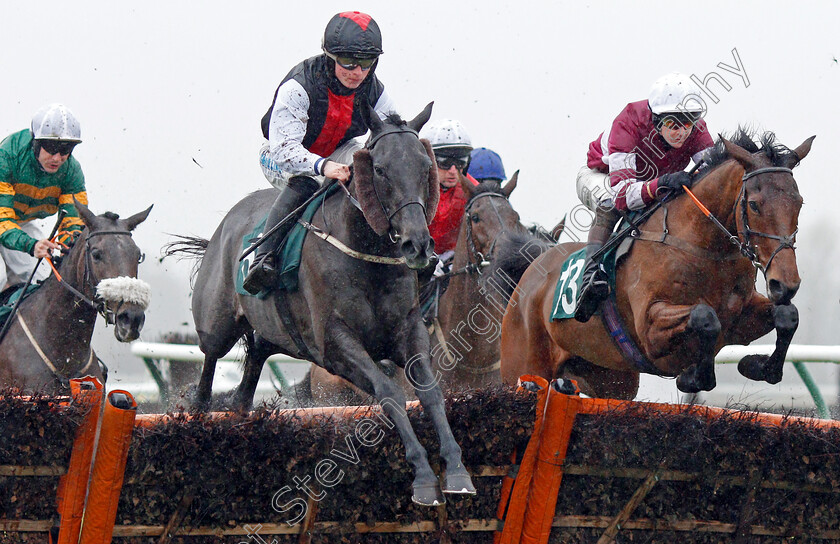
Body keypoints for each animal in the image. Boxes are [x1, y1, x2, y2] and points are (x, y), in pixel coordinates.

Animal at [178, 105, 476, 506]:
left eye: (424, 166)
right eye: (380, 170)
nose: (417, 245)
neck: (366, 253)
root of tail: (227, 221)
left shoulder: (408, 331)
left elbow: (428, 391)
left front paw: (457, 470)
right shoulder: (335, 345)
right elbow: (390, 392)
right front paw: (424, 478)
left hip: (277, 334)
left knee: (254, 361)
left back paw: (238, 410)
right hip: (218, 323)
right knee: (210, 359)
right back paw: (194, 414)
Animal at [498, 129, 812, 398]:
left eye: (799, 202)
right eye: (755, 204)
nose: (785, 284)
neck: (705, 250)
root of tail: (532, 273)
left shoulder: (741, 317)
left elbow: (789, 315)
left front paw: (759, 366)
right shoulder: (650, 330)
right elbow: (705, 317)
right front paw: (693, 376)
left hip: (611, 379)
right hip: (523, 367)